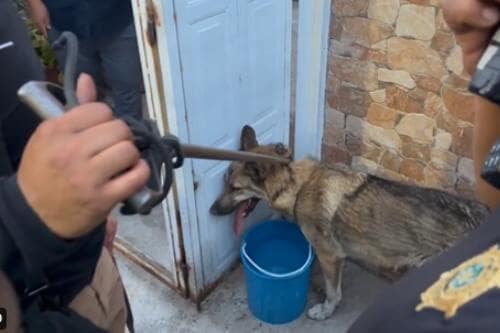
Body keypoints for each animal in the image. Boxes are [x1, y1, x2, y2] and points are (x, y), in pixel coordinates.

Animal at [210, 125, 488, 320]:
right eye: (225, 182)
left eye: (235, 188)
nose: (212, 211)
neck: (299, 186)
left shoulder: (330, 256)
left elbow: (334, 293)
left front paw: (324, 312)